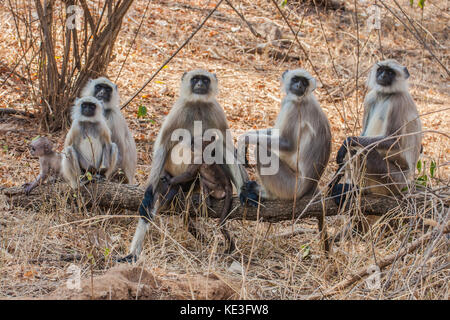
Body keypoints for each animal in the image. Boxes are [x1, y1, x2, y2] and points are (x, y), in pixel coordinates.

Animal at [118, 69, 260, 262]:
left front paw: (247, 190)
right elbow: (162, 147)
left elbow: (228, 146)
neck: (197, 104)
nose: (199, 85)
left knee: (219, 146)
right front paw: (148, 195)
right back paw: (133, 253)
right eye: (195, 79)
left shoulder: (216, 110)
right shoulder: (179, 110)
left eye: (204, 80)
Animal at [241, 69, 332, 200]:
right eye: (295, 79)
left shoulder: (292, 107)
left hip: (290, 187)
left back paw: (266, 194)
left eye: (304, 82)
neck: (302, 98)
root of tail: (309, 187)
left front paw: (245, 139)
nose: (299, 86)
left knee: (260, 150)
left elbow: (288, 144)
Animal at [330, 58, 422, 204]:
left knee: (364, 152)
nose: (382, 76)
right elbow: (362, 134)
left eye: (390, 72)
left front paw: (348, 141)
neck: (385, 95)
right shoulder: (370, 98)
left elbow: (394, 141)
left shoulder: (397, 102)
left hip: (395, 181)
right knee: (356, 151)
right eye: (381, 70)